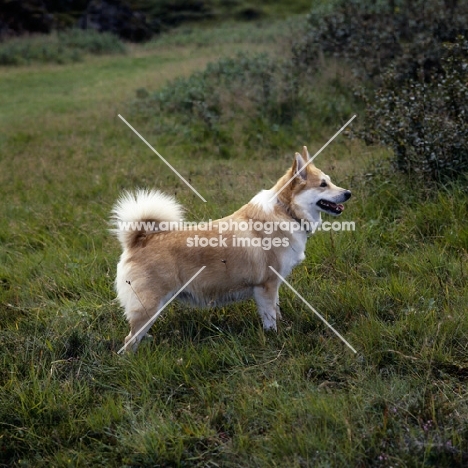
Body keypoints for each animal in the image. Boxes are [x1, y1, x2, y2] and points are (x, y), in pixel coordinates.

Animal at [111, 147, 350, 352]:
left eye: (329, 181)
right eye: (323, 184)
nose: (348, 193)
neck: (286, 211)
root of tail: (140, 240)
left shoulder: (273, 287)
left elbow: (277, 310)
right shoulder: (266, 286)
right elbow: (270, 319)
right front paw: (274, 338)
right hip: (148, 307)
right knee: (128, 341)